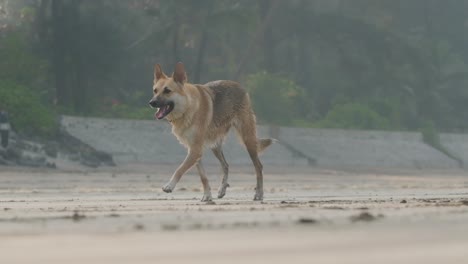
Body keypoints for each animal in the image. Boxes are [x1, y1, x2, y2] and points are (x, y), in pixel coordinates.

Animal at [149, 63, 274, 201]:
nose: (151, 103)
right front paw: (207, 195)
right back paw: (222, 190)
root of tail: (239, 86)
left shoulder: (195, 150)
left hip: (248, 140)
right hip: (216, 146)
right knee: (226, 166)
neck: (188, 106)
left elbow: (180, 169)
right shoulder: (194, 151)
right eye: (155, 90)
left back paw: (259, 193)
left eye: (167, 91)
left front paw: (169, 186)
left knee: (258, 167)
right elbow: (203, 177)